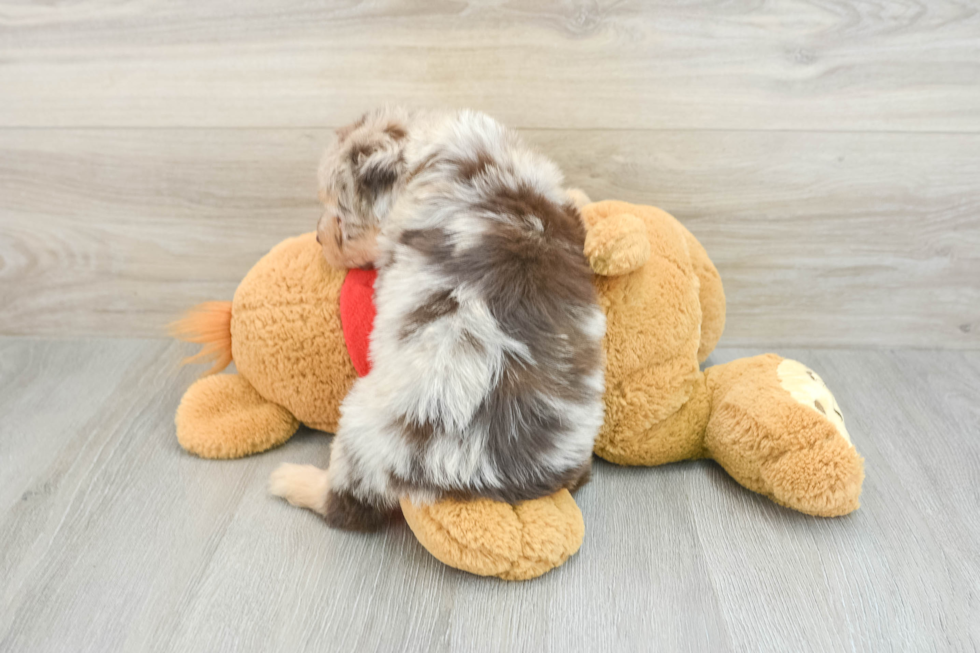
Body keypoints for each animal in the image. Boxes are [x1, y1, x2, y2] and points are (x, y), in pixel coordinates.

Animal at [270, 104, 604, 528]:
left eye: (341, 218)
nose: (316, 237)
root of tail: (479, 482)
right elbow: (572, 204)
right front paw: (582, 196)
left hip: (361, 423)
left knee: (346, 504)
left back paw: (292, 480)